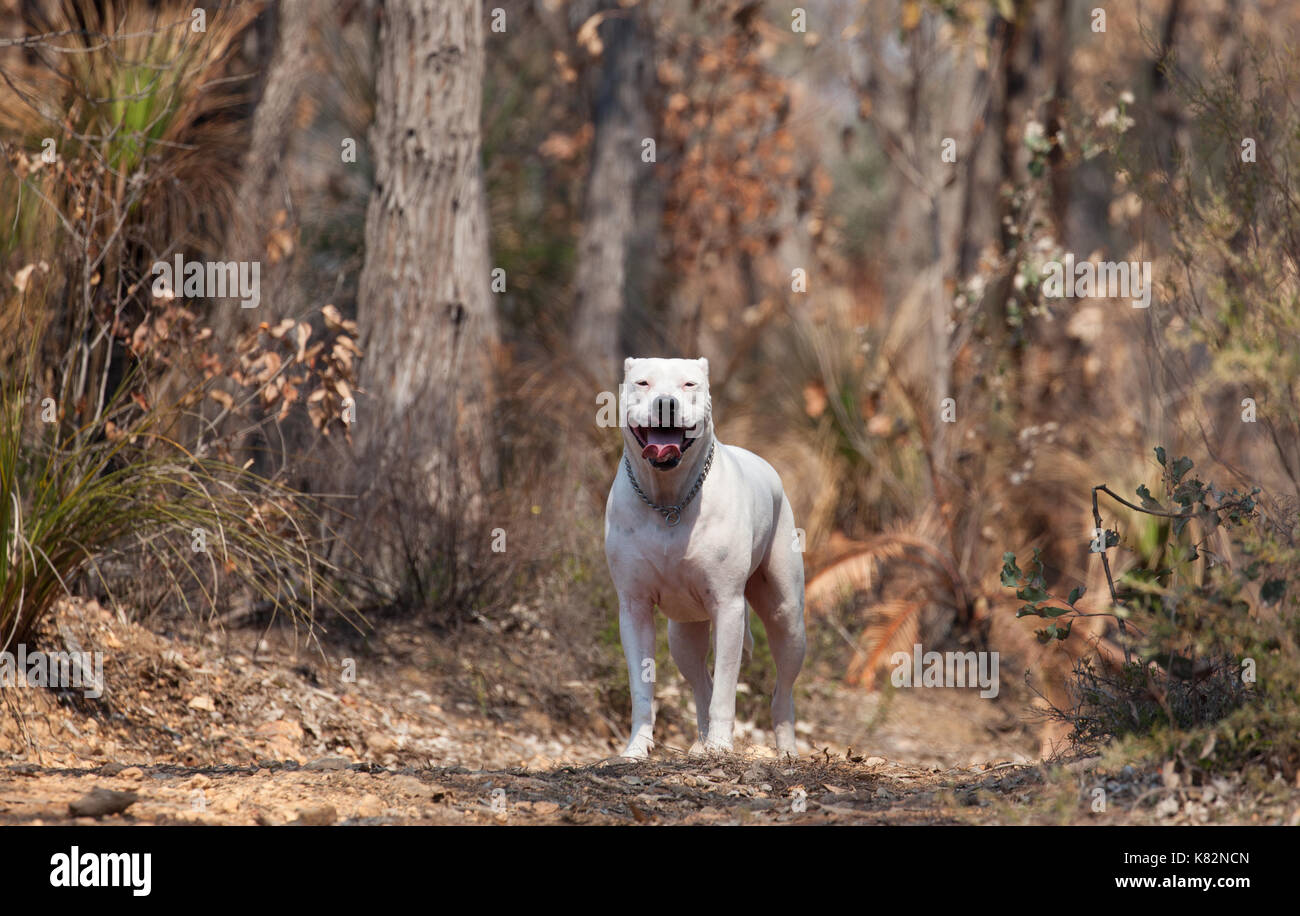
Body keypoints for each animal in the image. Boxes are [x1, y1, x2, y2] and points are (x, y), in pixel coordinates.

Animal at [605, 353, 806, 753]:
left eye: (689, 384)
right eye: (643, 383)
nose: (665, 404)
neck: (668, 498)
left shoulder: (728, 606)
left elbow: (727, 689)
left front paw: (721, 746)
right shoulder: (634, 609)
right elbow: (641, 687)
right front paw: (637, 748)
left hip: (788, 620)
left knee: (782, 690)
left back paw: (785, 748)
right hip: (682, 635)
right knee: (701, 682)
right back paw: (699, 746)